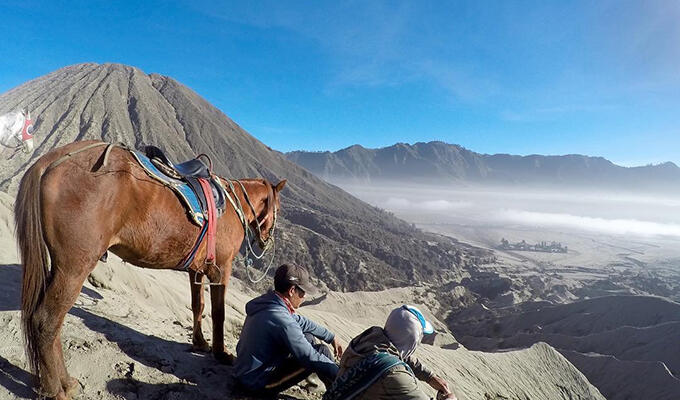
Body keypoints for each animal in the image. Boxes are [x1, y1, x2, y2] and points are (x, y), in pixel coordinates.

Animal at [15, 140, 286, 396]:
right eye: (278, 209)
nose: (266, 241)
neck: (230, 204)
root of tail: (51, 160)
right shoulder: (222, 269)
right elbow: (219, 313)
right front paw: (221, 352)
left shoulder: (196, 270)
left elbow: (197, 306)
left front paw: (199, 342)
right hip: (74, 267)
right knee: (46, 321)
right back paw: (57, 390)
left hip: (58, 265)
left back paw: (65, 382)